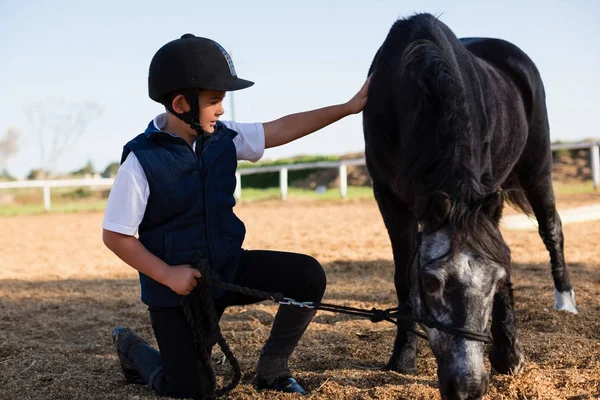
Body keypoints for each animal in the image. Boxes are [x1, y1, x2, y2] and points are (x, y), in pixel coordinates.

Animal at [360, 12, 576, 400]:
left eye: (495, 281)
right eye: (430, 282)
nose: (468, 387)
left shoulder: (485, 192)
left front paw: (510, 358)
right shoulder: (388, 197)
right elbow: (402, 274)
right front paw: (402, 359)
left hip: (537, 167)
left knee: (552, 229)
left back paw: (565, 303)